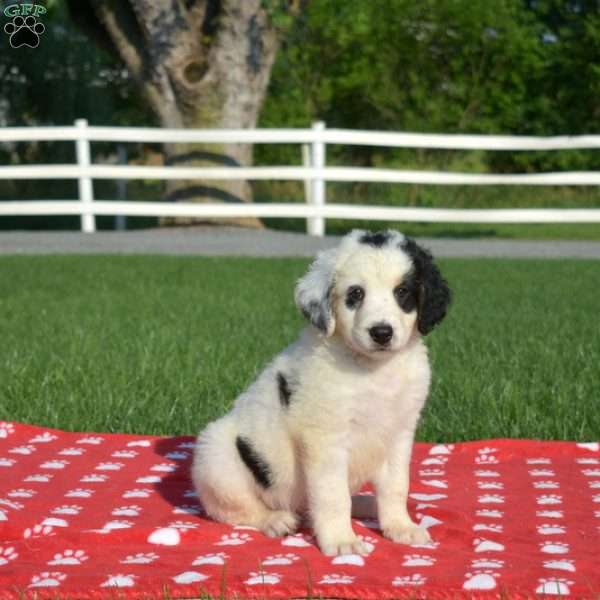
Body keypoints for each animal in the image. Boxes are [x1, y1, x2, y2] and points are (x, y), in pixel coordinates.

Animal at [192, 227, 450, 556]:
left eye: (402, 292)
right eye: (355, 294)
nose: (381, 332)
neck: (372, 369)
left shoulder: (400, 432)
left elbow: (396, 485)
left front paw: (400, 526)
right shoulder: (325, 437)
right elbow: (333, 495)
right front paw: (341, 540)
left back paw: (366, 503)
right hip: (216, 458)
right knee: (232, 509)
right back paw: (274, 519)